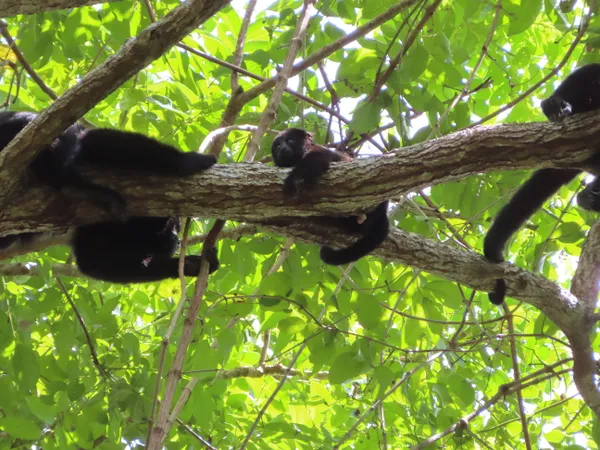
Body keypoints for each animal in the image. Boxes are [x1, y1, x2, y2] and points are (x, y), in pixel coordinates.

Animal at [0, 110, 220, 282]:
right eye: (173, 227)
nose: (176, 239)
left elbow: (92, 260)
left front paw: (192, 265)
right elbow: (98, 139)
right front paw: (187, 162)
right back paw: (75, 187)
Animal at [272, 127, 390, 264]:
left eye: (290, 140)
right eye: (277, 145)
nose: (281, 148)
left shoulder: (319, 151)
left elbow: (318, 160)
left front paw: (293, 180)